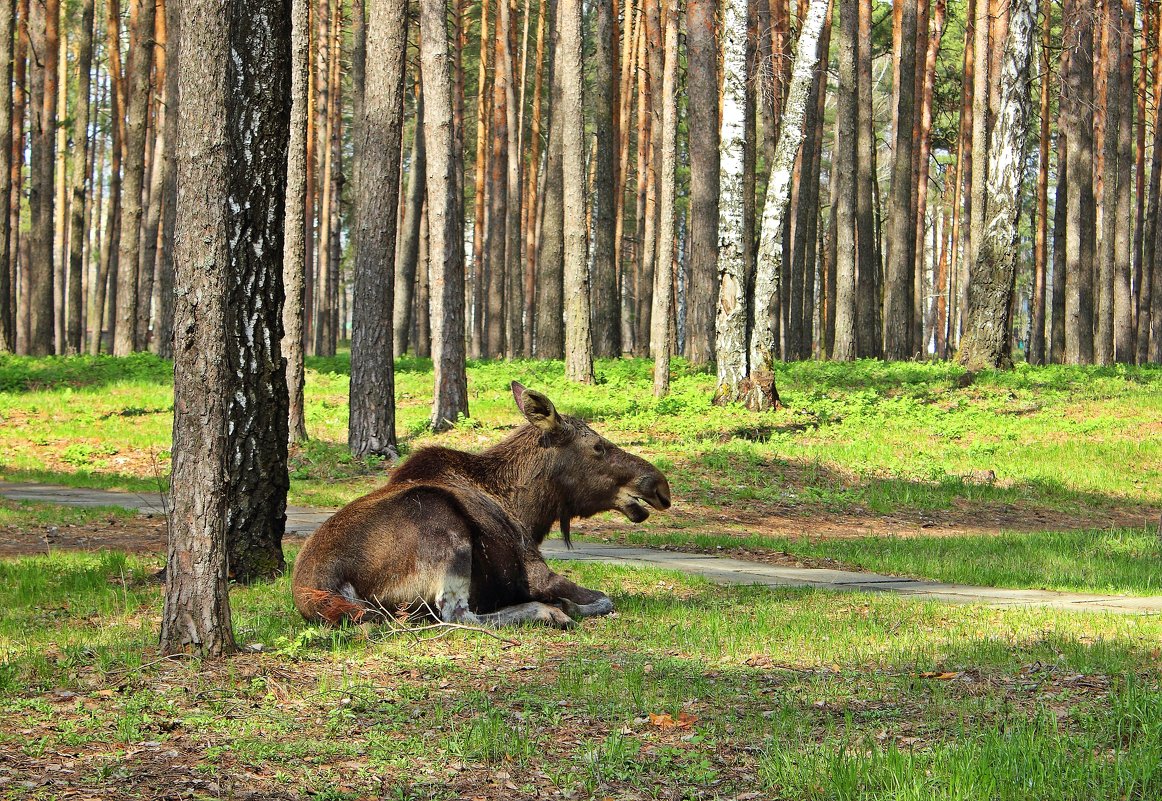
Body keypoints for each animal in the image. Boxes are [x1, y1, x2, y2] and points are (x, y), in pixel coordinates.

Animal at [290, 383, 673, 627]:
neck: (527, 510)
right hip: (444, 527)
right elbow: (605, 599)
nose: (660, 485)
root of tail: (318, 590)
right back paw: (546, 612)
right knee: (455, 616)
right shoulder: (535, 569)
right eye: (598, 446)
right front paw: (562, 605)